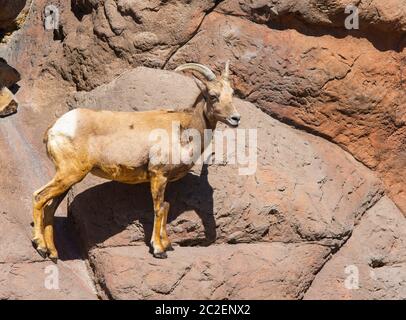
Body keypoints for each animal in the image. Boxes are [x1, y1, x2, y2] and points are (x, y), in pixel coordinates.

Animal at [33, 62, 239, 260]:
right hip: (70, 173)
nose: (235, 118)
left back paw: (53, 253)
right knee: (39, 196)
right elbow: (158, 209)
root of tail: (54, 129)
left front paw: (168, 245)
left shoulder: (164, 179)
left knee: (49, 208)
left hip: (67, 178)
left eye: (232, 94)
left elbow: (166, 206)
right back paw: (40, 247)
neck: (183, 129)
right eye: (213, 96)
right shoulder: (158, 175)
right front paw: (159, 250)